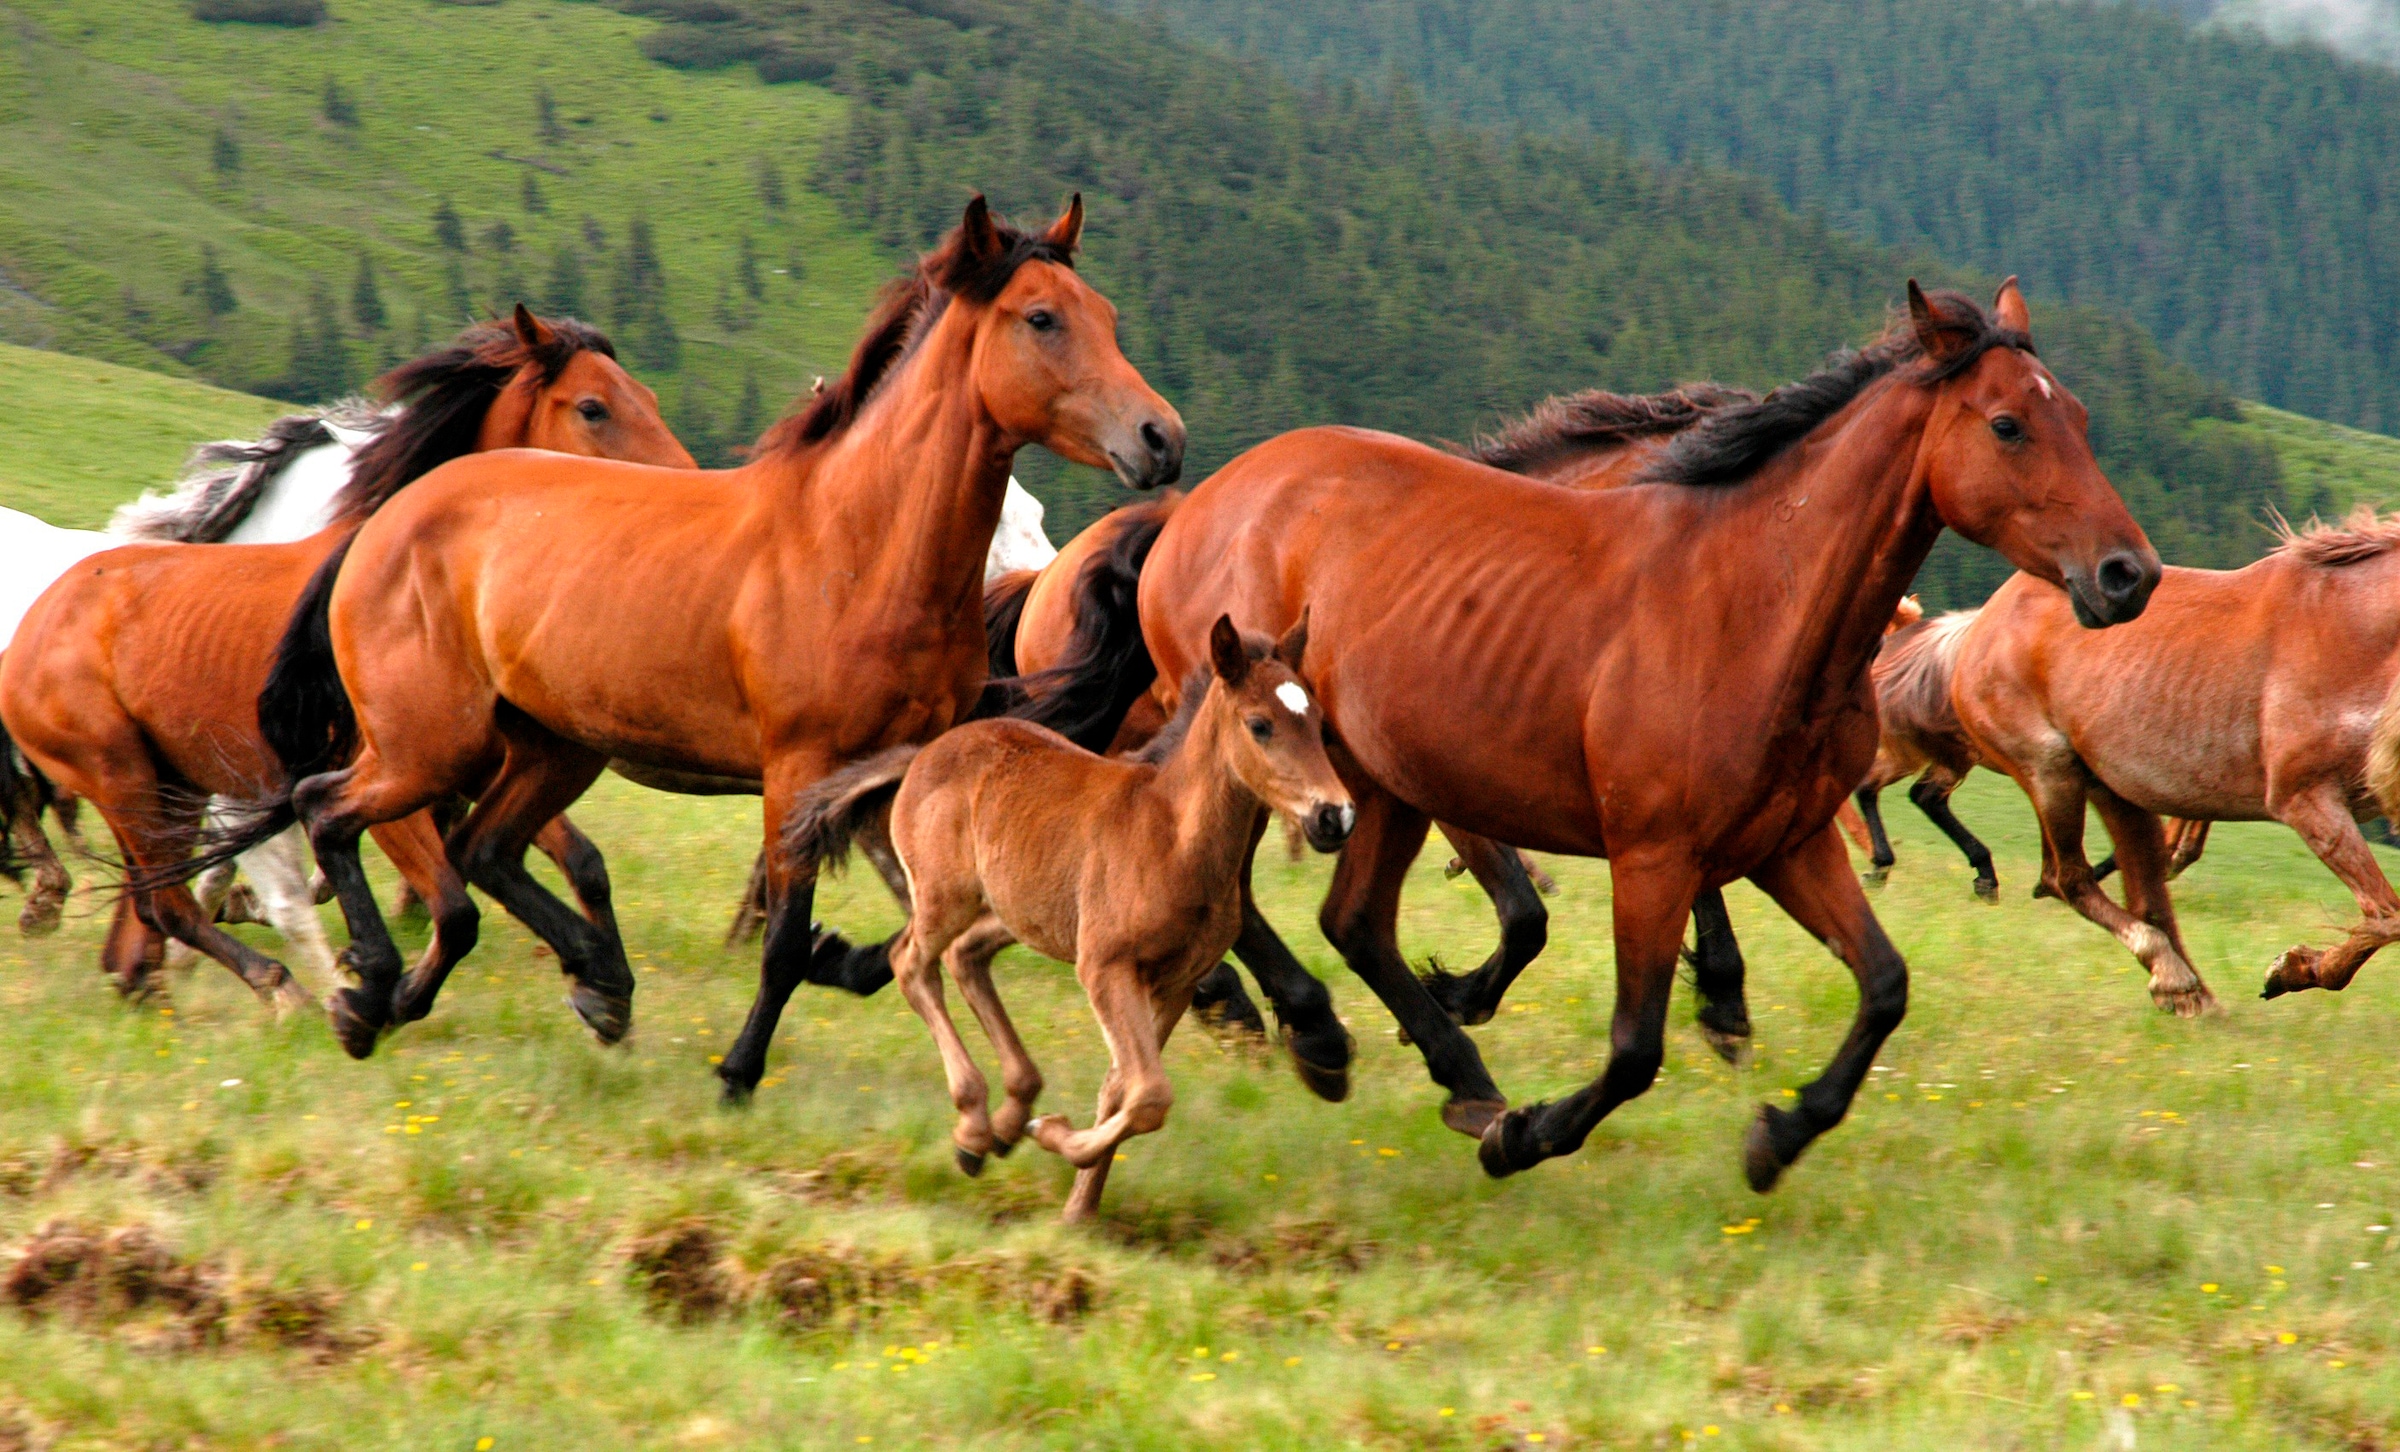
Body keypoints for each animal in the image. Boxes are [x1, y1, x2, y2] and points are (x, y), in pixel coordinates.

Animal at [0, 309, 690, 1031]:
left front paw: (602, 988)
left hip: (172, 785)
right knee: (169, 901)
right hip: (123, 777)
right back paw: (280, 989)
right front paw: (370, 990)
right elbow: (450, 903)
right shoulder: (383, 775)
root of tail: (32, 625)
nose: (687, 488)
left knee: (150, 906)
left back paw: (155, 982)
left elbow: (576, 862)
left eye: (651, 397)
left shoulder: (474, 765)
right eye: (593, 407)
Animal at [238, 195, 1183, 1080]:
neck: (856, 548)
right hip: (429, 745)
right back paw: (371, 991)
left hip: (550, 748)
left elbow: (907, 933)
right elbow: (787, 942)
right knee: (331, 811)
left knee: (481, 851)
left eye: (1106, 314)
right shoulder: (799, 771)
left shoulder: (887, 776)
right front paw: (738, 1071)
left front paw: (838, 959)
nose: (1162, 439)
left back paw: (568, 987)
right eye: (1041, 318)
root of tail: (384, 524)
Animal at [793, 613, 1351, 1220]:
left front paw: (1079, 1209)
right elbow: (1150, 1094)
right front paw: (1056, 1138)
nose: (1335, 816)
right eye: (1260, 724)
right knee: (911, 964)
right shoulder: (1105, 967)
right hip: (946, 899)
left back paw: (1008, 1118)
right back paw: (974, 1127)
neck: (1172, 836)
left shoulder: (1175, 981)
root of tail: (923, 753)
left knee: (966, 956)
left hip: (1020, 911)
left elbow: (1122, 1089)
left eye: (1318, 722)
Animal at [1045, 281, 2159, 1188]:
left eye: (2080, 418)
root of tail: (1198, 504)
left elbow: (1884, 986)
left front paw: (1778, 1136)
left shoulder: (1790, 845)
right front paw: (1528, 1138)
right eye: (2009, 424)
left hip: (1382, 784)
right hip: (1272, 765)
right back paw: (1326, 1039)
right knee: (1245, 895)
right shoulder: (1653, 857)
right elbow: (1632, 1046)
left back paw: (1449, 1071)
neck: (1753, 602)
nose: (2128, 575)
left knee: (1353, 922)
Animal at [1953, 507, 2400, 1011]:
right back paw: (2175, 980)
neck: (2354, 634)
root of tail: (1986, 619)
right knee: (2068, 879)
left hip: (2115, 790)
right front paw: (2291, 970)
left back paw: (2193, 997)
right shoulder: (2307, 799)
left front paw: (2295, 968)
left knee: (2142, 894)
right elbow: (2387, 917)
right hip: (2051, 774)